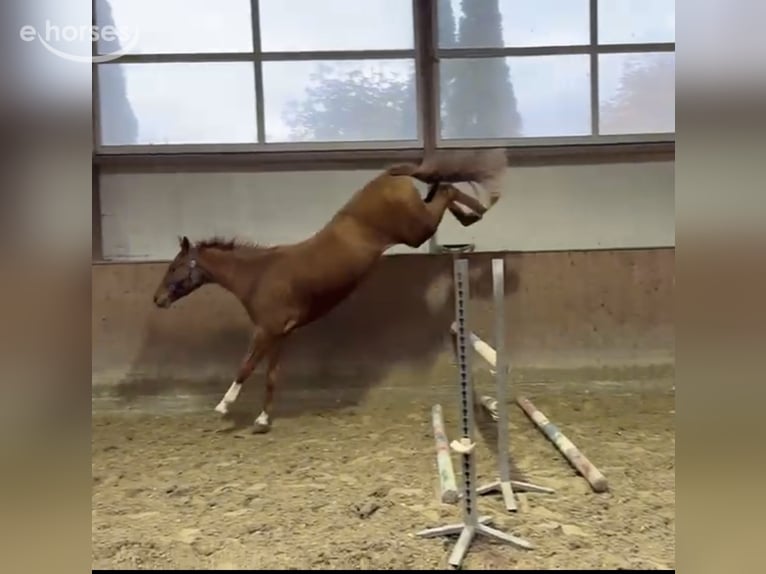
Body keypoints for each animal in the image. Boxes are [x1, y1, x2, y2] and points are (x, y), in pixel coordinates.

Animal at [151, 148, 509, 433]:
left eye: (174, 268)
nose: (157, 299)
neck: (258, 275)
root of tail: (389, 175)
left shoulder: (266, 331)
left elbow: (245, 367)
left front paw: (224, 406)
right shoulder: (280, 335)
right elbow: (271, 376)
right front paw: (262, 420)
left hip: (417, 230)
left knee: (446, 191)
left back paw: (480, 208)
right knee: (444, 189)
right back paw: (474, 212)